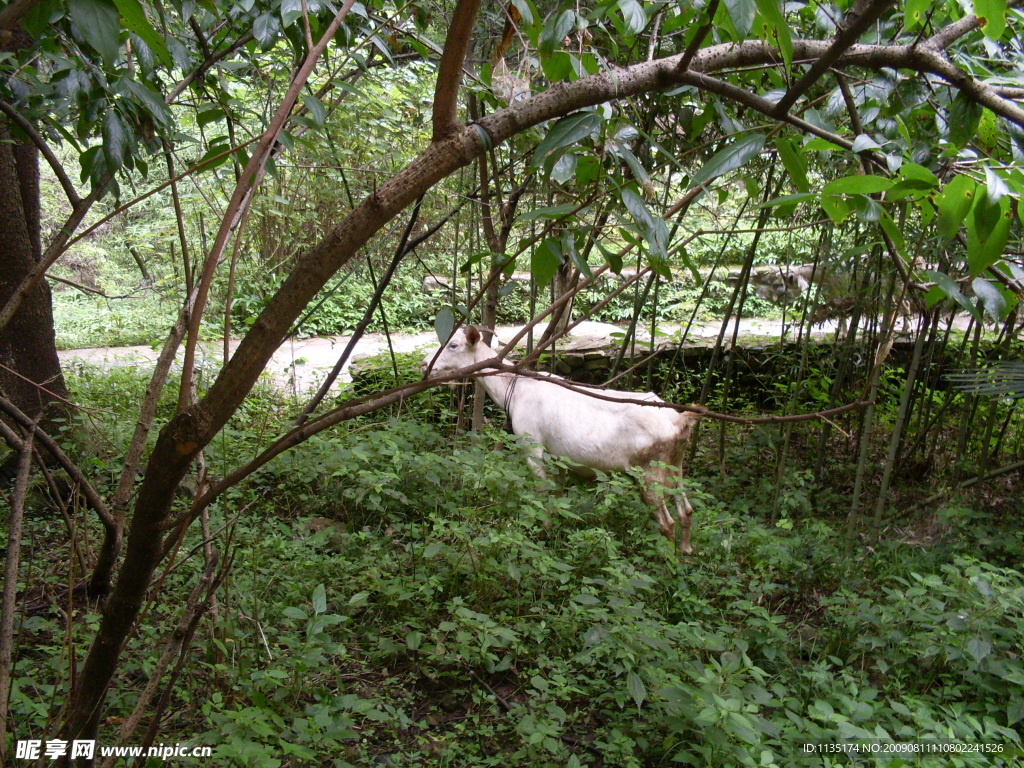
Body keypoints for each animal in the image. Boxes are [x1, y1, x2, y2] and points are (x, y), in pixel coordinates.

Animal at [419, 327, 700, 557]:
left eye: (454, 345)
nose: (424, 364)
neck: (515, 390)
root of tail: (679, 421)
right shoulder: (558, 456)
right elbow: (558, 493)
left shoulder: (532, 444)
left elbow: (542, 492)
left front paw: (544, 532)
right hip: (676, 463)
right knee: (686, 510)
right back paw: (687, 551)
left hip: (648, 470)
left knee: (667, 522)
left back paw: (669, 562)